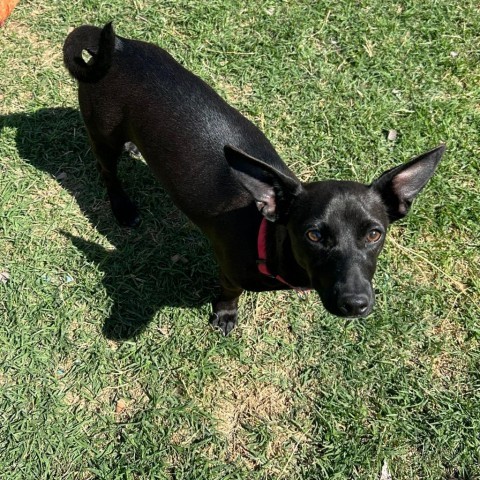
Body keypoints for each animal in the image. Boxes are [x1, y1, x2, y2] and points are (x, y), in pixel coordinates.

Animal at [63, 23, 446, 334]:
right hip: (102, 133)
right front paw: (226, 315)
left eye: (374, 234)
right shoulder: (230, 273)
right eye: (314, 235)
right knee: (107, 171)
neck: (265, 235)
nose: (355, 304)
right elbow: (230, 293)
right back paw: (123, 207)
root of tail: (119, 46)